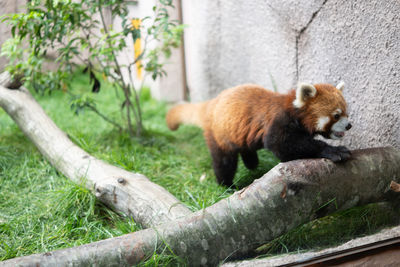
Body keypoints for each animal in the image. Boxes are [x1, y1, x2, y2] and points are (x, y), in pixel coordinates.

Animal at [167, 82, 352, 187]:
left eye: (346, 113)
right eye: (336, 115)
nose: (349, 125)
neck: (294, 111)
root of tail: (212, 103)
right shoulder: (279, 122)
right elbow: (283, 145)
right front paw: (334, 151)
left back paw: (251, 161)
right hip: (219, 134)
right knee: (224, 161)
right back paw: (226, 185)